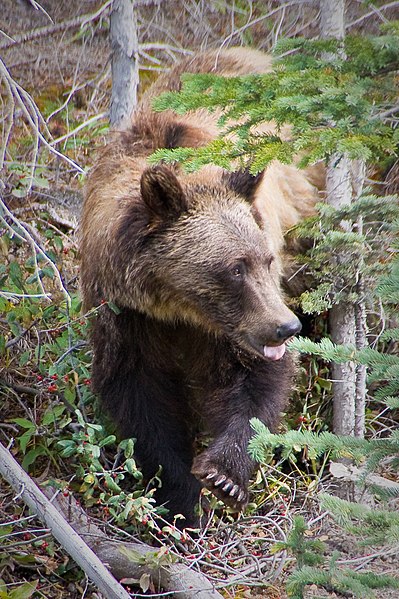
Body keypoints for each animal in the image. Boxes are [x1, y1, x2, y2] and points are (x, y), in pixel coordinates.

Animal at [80, 49, 318, 528]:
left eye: (265, 259)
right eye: (235, 268)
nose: (286, 327)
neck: (176, 310)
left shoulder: (231, 327)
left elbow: (254, 381)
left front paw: (224, 475)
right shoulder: (125, 315)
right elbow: (141, 395)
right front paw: (178, 495)